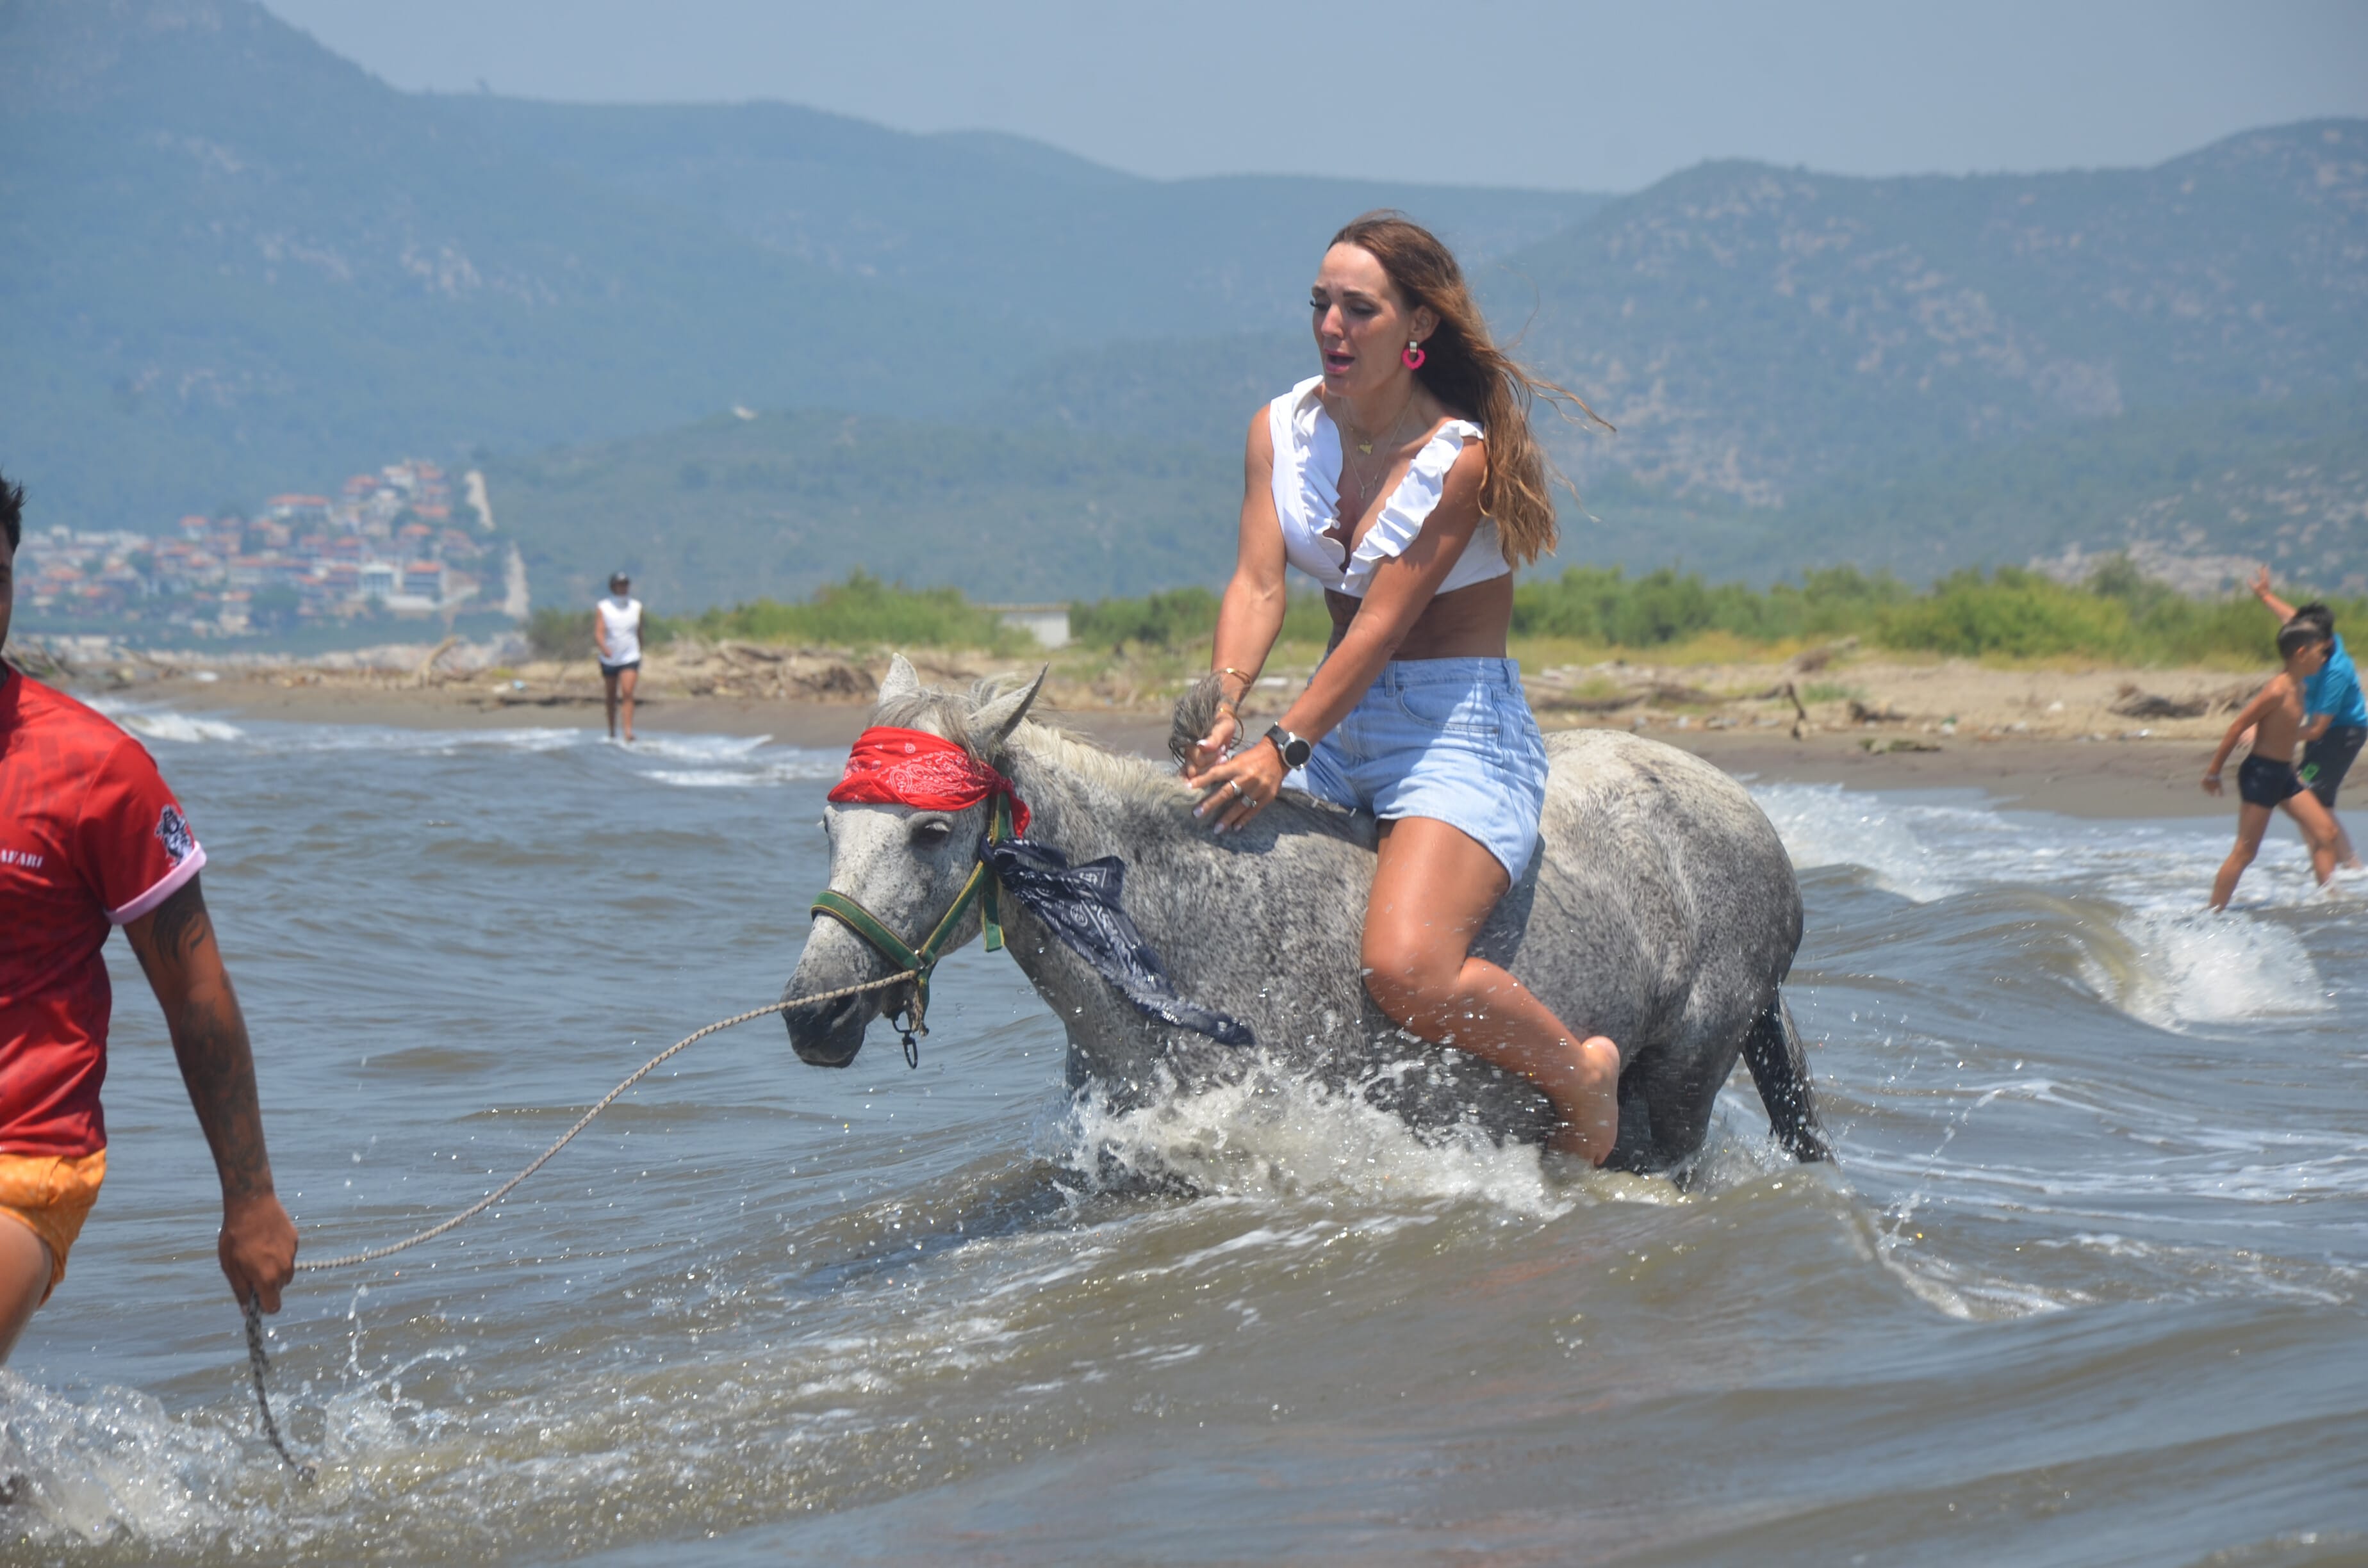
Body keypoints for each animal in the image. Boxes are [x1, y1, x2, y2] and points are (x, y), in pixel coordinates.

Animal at [783, 657, 1828, 1173]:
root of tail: (1748, 815)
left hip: (1681, 1088)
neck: (1178, 940)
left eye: (930, 830)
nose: (812, 1015)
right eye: (829, 823)